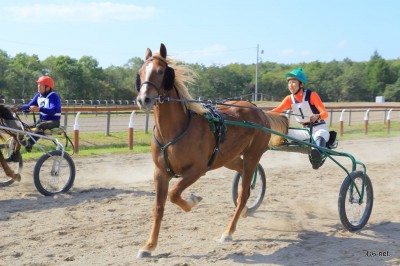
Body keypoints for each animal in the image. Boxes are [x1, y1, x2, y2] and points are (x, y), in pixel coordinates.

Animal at [135, 43, 288, 258]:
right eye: (141, 72)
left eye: (160, 71)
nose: (144, 99)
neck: (174, 131)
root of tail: (259, 111)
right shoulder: (160, 172)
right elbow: (158, 207)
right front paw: (149, 246)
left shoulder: (197, 170)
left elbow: (174, 193)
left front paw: (192, 200)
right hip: (228, 158)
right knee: (243, 176)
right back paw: (244, 209)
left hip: (252, 155)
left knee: (244, 192)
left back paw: (229, 231)